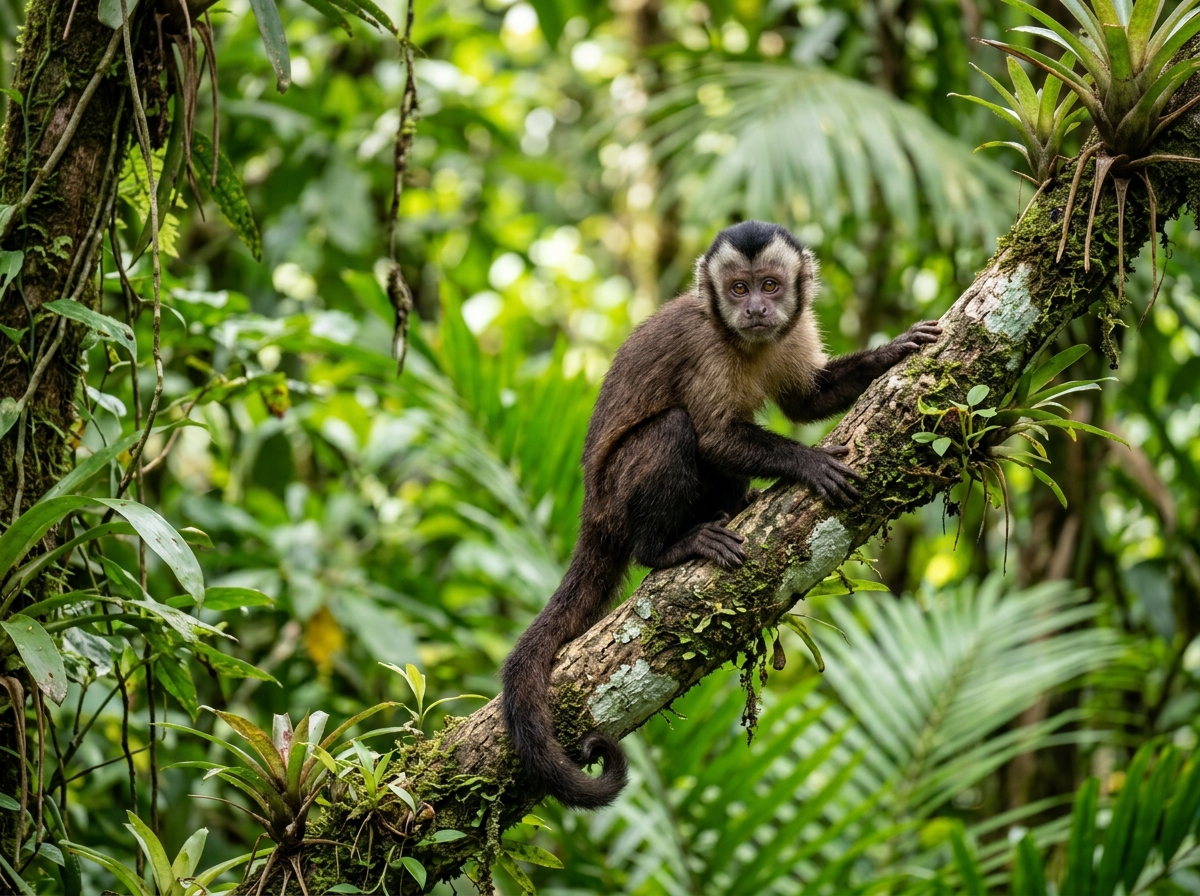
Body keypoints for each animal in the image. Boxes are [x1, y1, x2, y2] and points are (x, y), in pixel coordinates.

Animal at [500, 220, 942, 810]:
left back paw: (736, 505)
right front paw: (807, 462)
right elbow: (712, 436)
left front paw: (892, 352)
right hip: (615, 499)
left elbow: (806, 400)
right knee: (675, 430)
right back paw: (669, 547)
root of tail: (591, 514)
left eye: (770, 286)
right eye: (738, 289)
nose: (755, 308)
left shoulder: (794, 331)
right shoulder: (704, 347)